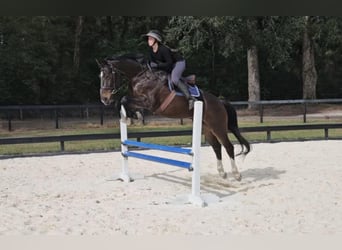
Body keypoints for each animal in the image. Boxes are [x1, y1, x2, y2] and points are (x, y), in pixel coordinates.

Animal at [97, 53, 250, 181]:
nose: (104, 99)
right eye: (101, 76)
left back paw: (236, 174)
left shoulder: (149, 103)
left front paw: (131, 117)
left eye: (108, 76)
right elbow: (123, 102)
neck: (140, 76)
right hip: (207, 128)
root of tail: (220, 101)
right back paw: (222, 172)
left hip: (218, 126)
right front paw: (132, 117)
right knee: (217, 146)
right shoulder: (138, 100)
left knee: (228, 146)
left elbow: (123, 99)